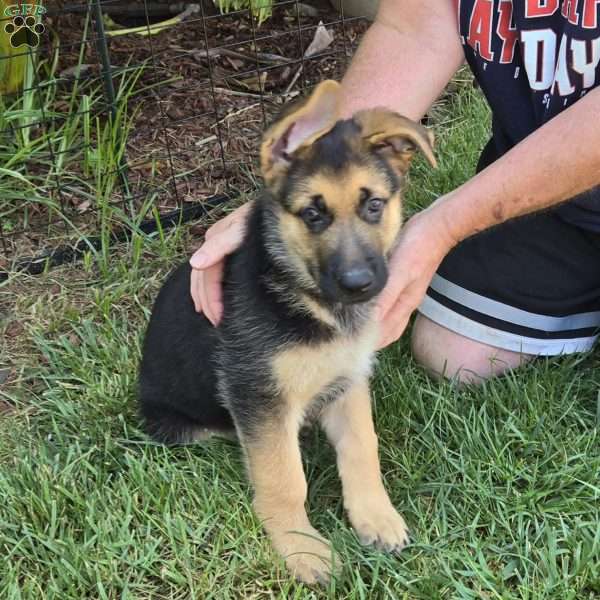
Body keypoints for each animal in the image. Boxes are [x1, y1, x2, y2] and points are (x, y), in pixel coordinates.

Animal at [138, 79, 434, 580]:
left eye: (374, 205)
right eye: (313, 215)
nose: (359, 284)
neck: (311, 301)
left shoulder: (348, 379)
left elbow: (362, 448)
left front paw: (375, 516)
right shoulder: (258, 396)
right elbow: (283, 477)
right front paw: (301, 547)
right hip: (180, 421)